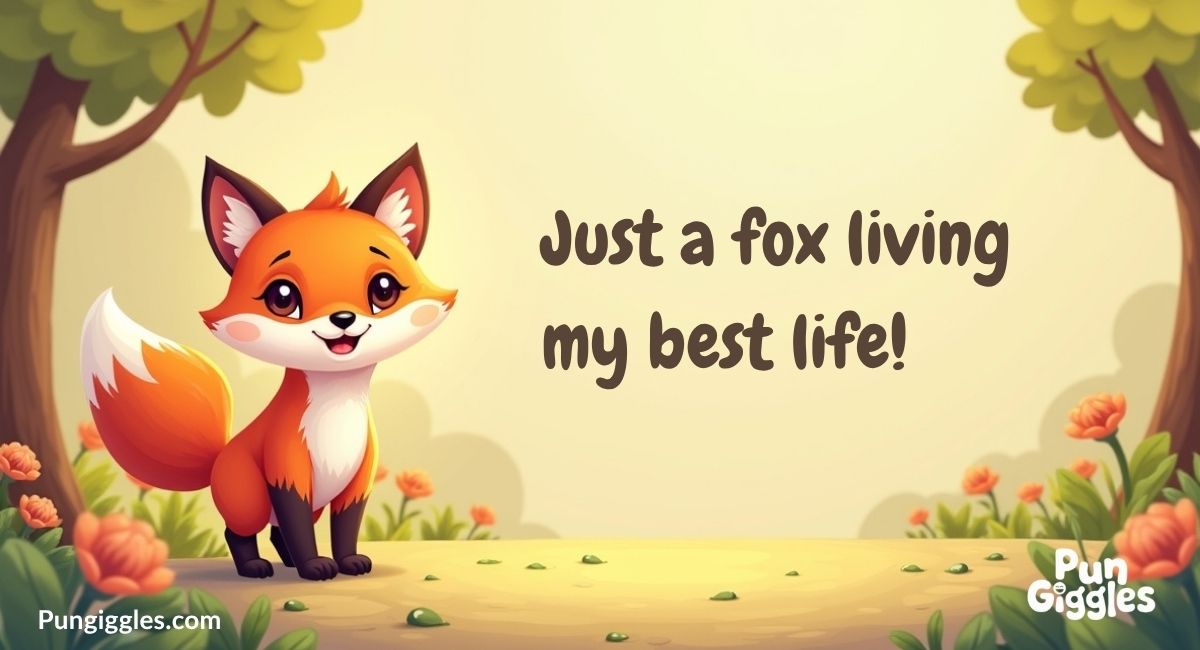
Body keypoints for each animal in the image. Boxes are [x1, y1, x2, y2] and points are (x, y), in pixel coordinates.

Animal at [79, 144, 455, 580]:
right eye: (283, 297)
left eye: (383, 289)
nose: (343, 319)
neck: (336, 407)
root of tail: (217, 458)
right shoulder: (287, 473)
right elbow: (296, 523)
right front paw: (314, 567)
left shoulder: (356, 483)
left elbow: (345, 527)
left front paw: (347, 562)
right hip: (251, 501)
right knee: (240, 531)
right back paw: (256, 566)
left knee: (278, 532)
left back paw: (288, 561)